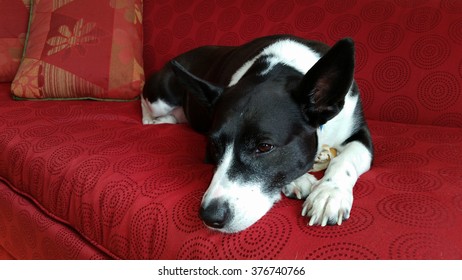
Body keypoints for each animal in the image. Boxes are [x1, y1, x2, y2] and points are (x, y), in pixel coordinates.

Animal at [143, 34, 374, 233]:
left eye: (264, 147)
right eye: (214, 146)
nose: (210, 217)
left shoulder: (360, 132)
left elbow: (345, 159)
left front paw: (329, 193)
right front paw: (298, 180)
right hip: (160, 97)